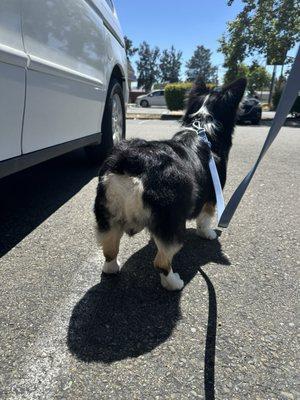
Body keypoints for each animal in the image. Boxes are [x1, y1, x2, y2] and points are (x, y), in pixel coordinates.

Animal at [94, 77, 246, 290]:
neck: (203, 126)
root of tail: (131, 160)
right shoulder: (211, 196)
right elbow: (205, 219)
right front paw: (207, 233)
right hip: (172, 221)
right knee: (162, 261)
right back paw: (174, 283)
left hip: (108, 215)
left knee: (109, 250)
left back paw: (112, 268)